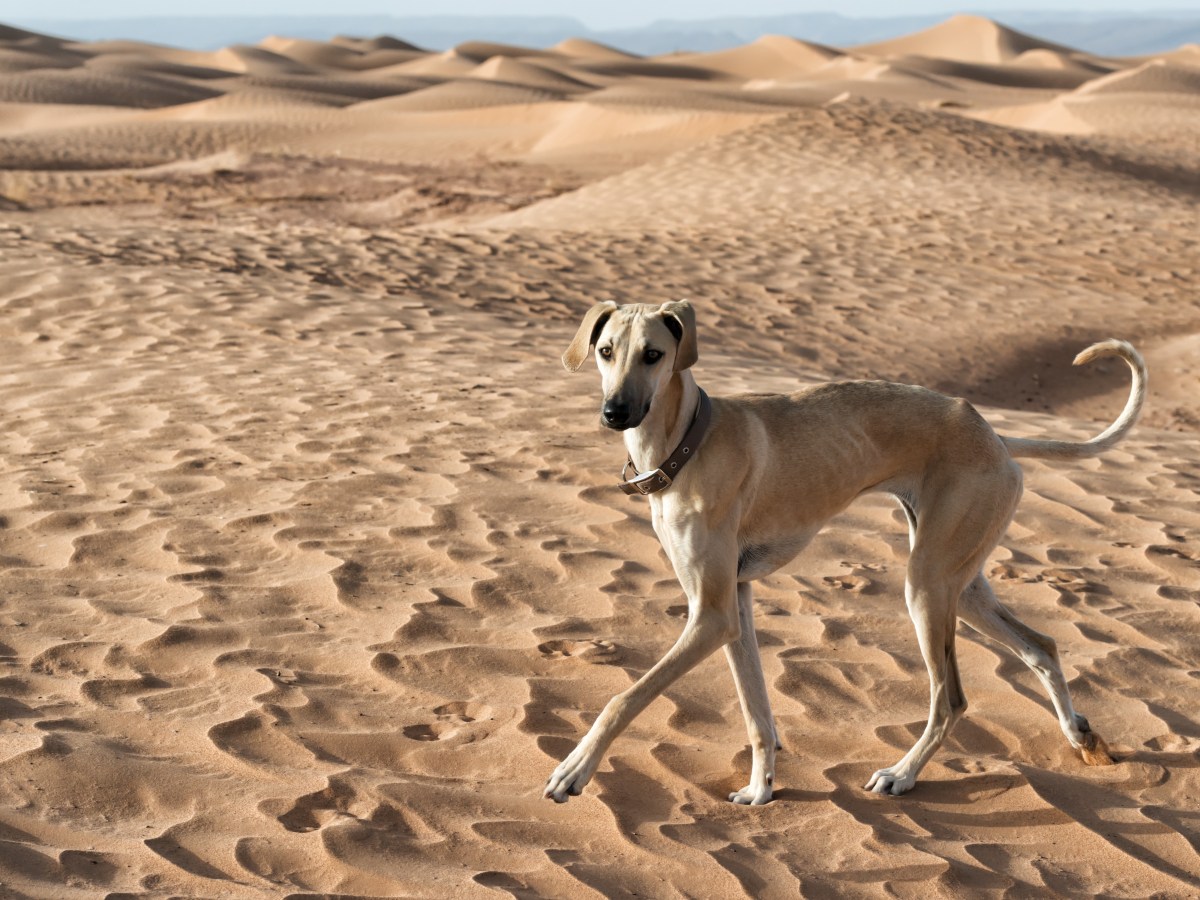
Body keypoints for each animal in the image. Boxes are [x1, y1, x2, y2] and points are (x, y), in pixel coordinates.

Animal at [544, 300, 1142, 806]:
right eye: (605, 351)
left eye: (653, 354)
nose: (614, 412)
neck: (689, 441)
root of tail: (994, 435)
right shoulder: (733, 603)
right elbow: (757, 712)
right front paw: (761, 789)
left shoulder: (710, 615)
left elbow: (623, 698)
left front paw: (574, 769)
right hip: (961, 581)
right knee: (1042, 646)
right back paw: (1080, 736)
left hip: (927, 586)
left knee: (951, 698)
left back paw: (902, 774)